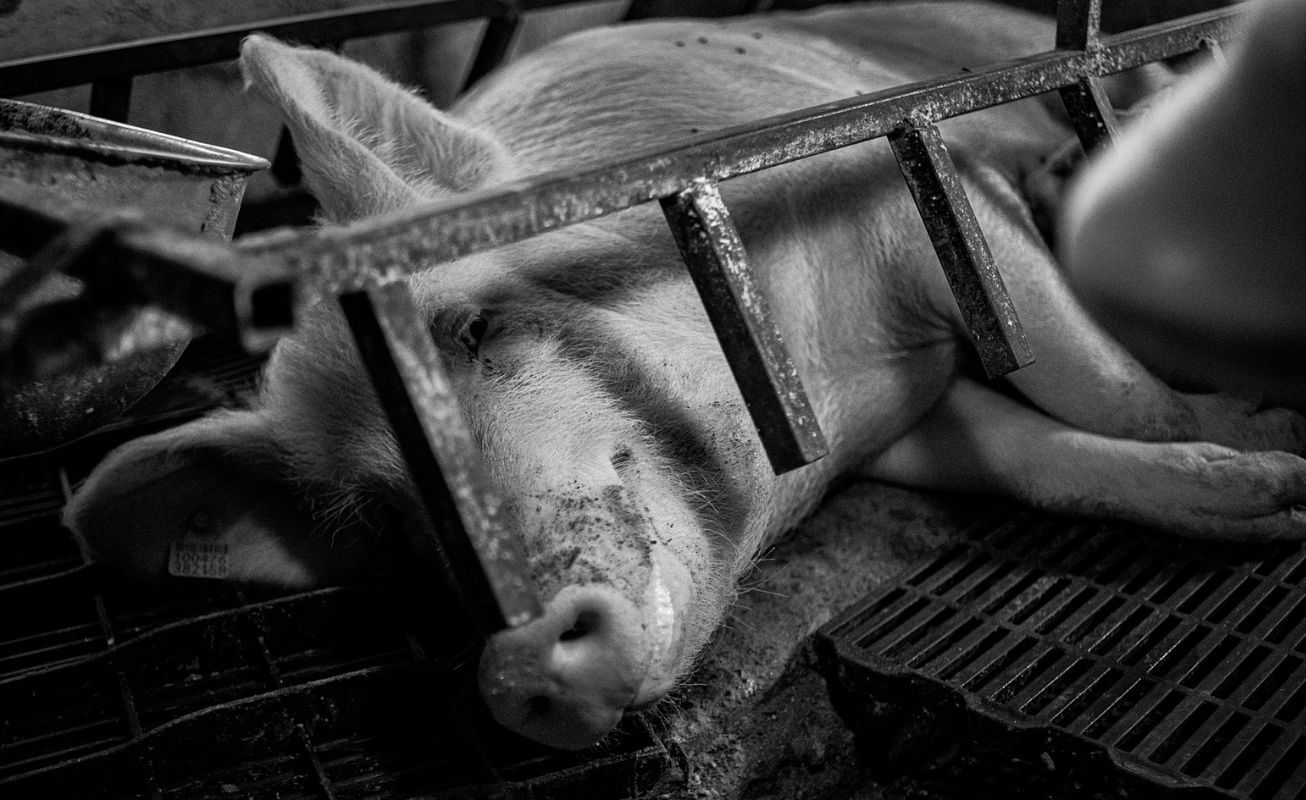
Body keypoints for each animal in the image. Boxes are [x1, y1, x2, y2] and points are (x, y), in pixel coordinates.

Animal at [65, 1, 1306, 751]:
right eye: (381, 511)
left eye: (472, 326)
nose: (514, 663)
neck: (834, 382)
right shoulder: (911, 415)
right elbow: (1035, 452)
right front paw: (1268, 492)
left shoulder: (918, 186)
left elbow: (1097, 382)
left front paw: (1271, 442)